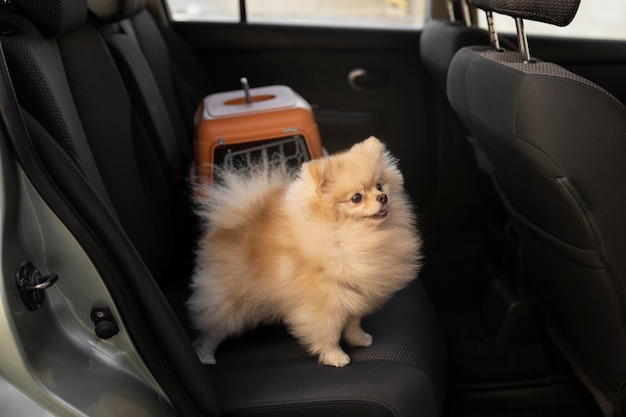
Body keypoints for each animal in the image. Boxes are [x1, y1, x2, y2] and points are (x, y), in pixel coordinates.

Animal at [185, 136, 420, 364]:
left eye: (379, 186)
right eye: (356, 198)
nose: (383, 198)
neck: (351, 235)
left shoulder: (357, 292)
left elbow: (354, 321)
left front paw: (359, 339)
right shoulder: (323, 303)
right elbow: (328, 333)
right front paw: (335, 357)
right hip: (227, 301)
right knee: (210, 333)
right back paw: (206, 356)